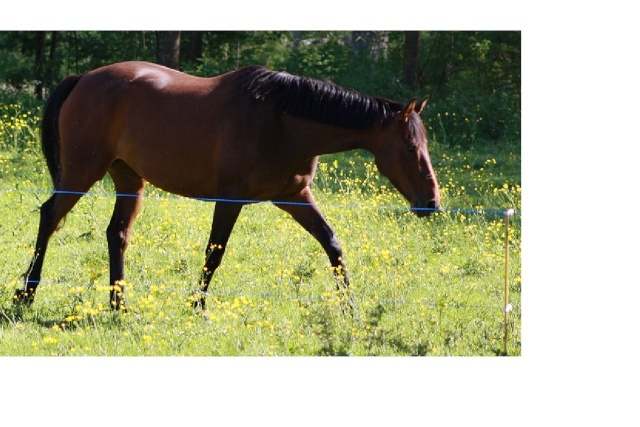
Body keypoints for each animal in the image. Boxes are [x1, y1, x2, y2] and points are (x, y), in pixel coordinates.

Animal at [13, 61, 440, 310]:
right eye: (409, 147)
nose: (431, 203)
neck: (282, 119)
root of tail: (84, 78)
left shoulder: (293, 197)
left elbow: (332, 244)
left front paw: (350, 306)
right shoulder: (230, 198)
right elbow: (214, 254)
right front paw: (197, 308)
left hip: (129, 180)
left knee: (116, 233)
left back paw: (119, 305)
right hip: (81, 173)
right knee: (49, 216)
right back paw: (26, 293)